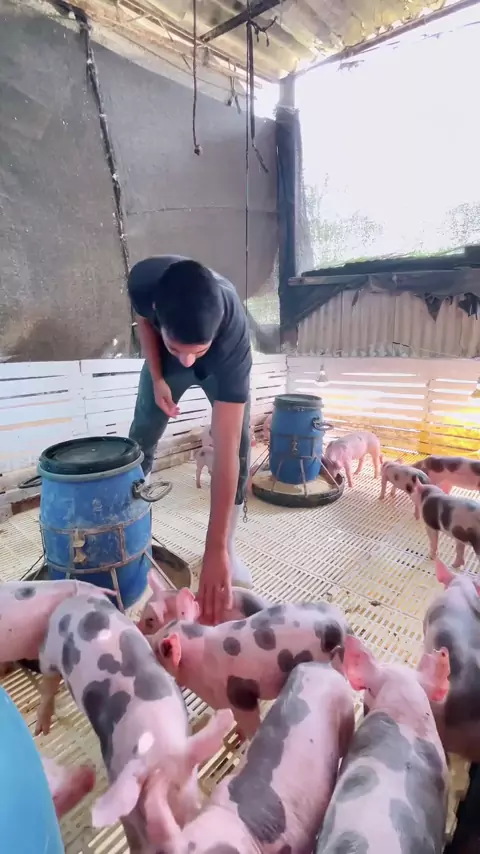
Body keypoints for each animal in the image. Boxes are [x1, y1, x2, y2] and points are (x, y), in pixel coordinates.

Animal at [35, 593, 234, 853]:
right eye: (146, 815)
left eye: (194, 805)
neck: (156, 740)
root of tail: (75, 598)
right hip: (48, 651)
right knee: (48, 679)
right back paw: (41, 729)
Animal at [150, 591, 351, 738]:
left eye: (159, 649)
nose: (148, 639)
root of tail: (342, 622)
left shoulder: (240, 697)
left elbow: (250, 721)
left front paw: (244, 738)